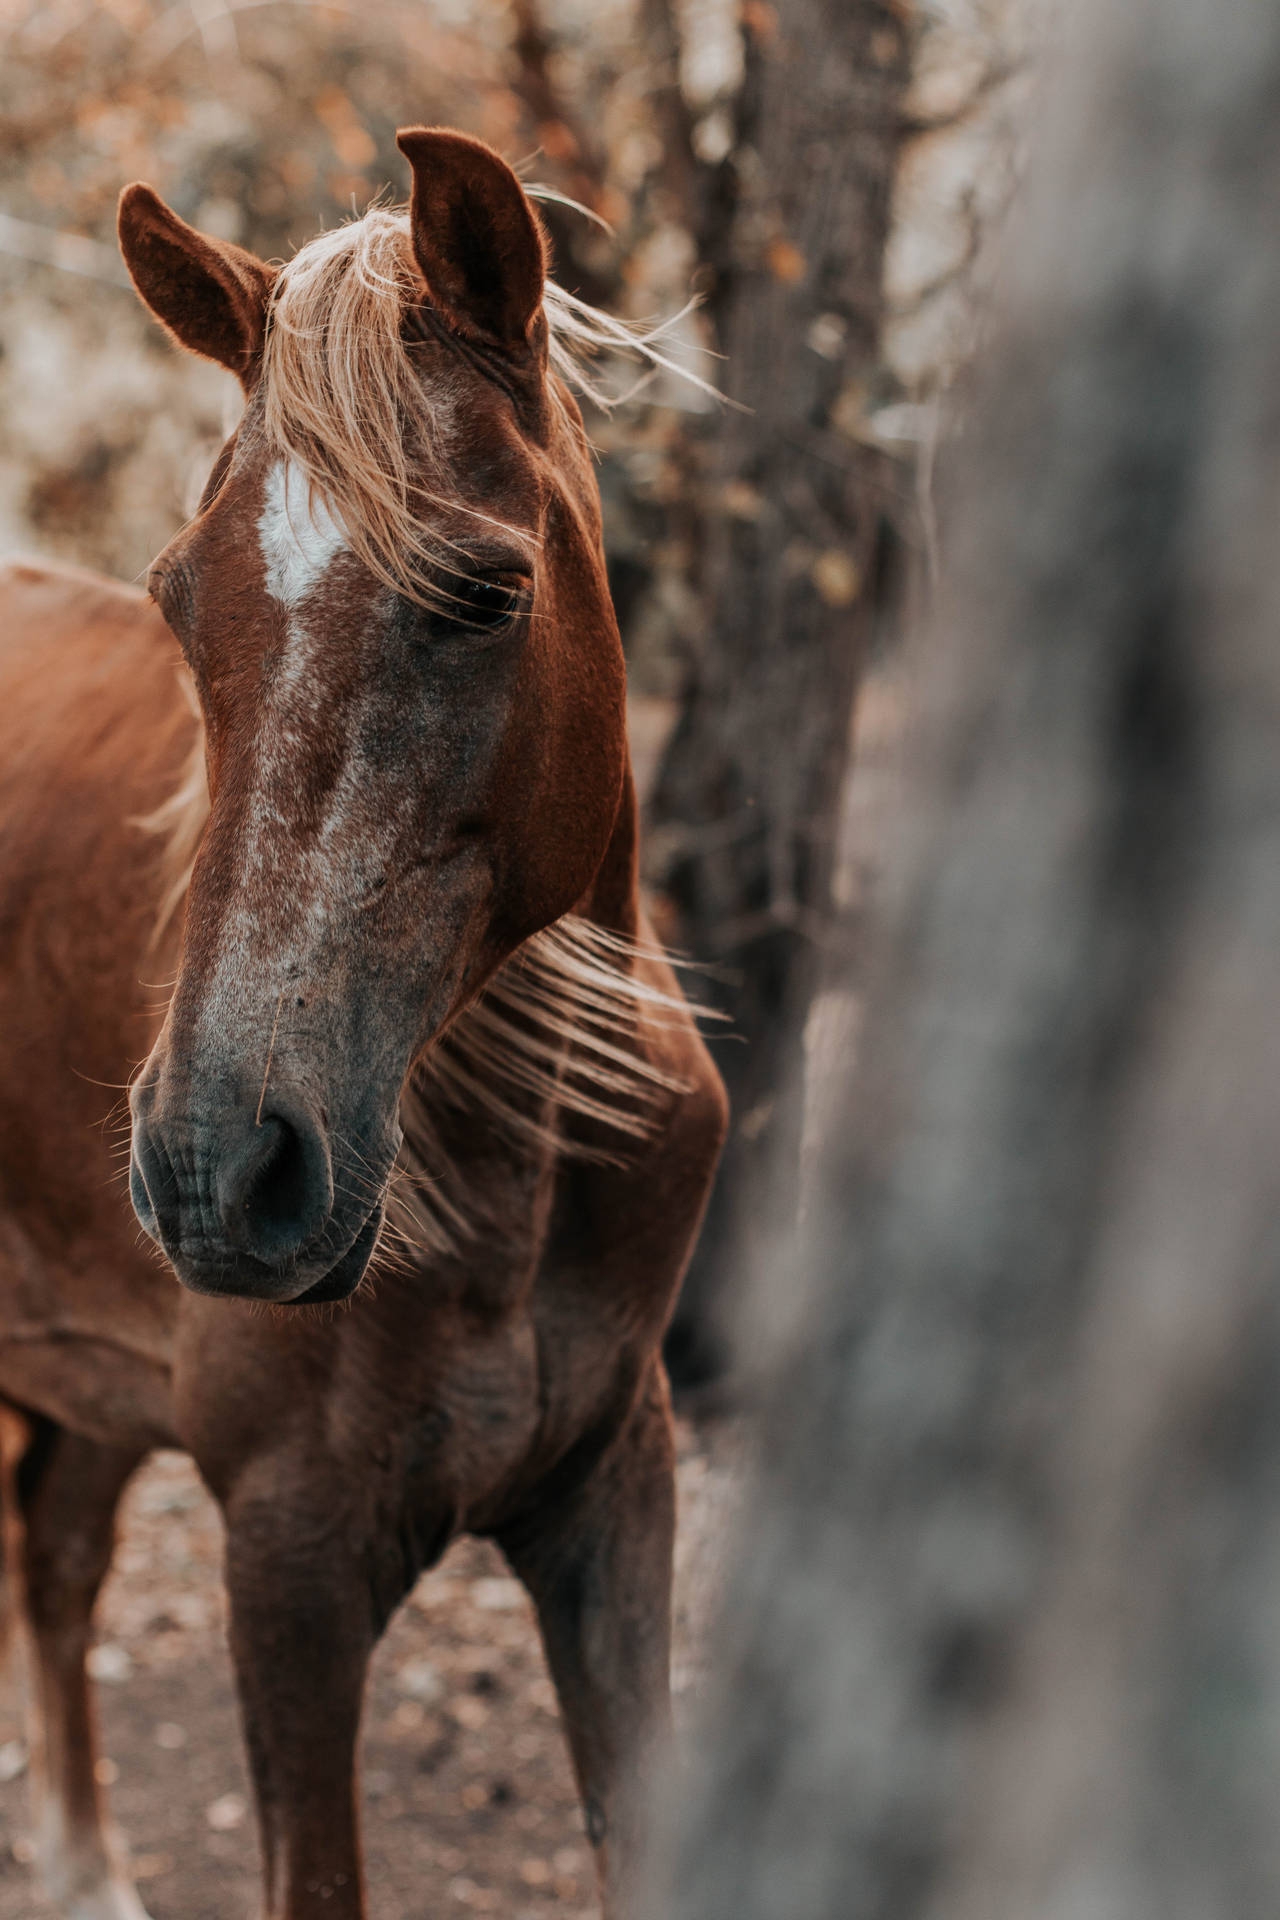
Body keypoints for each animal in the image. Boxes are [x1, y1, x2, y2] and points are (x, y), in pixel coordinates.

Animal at [0, 126, 725, 1920]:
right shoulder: (292, 1559)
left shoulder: (616, 1498)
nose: (211, 1168)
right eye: (179, 601)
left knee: (57, 1549)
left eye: (483, 591)